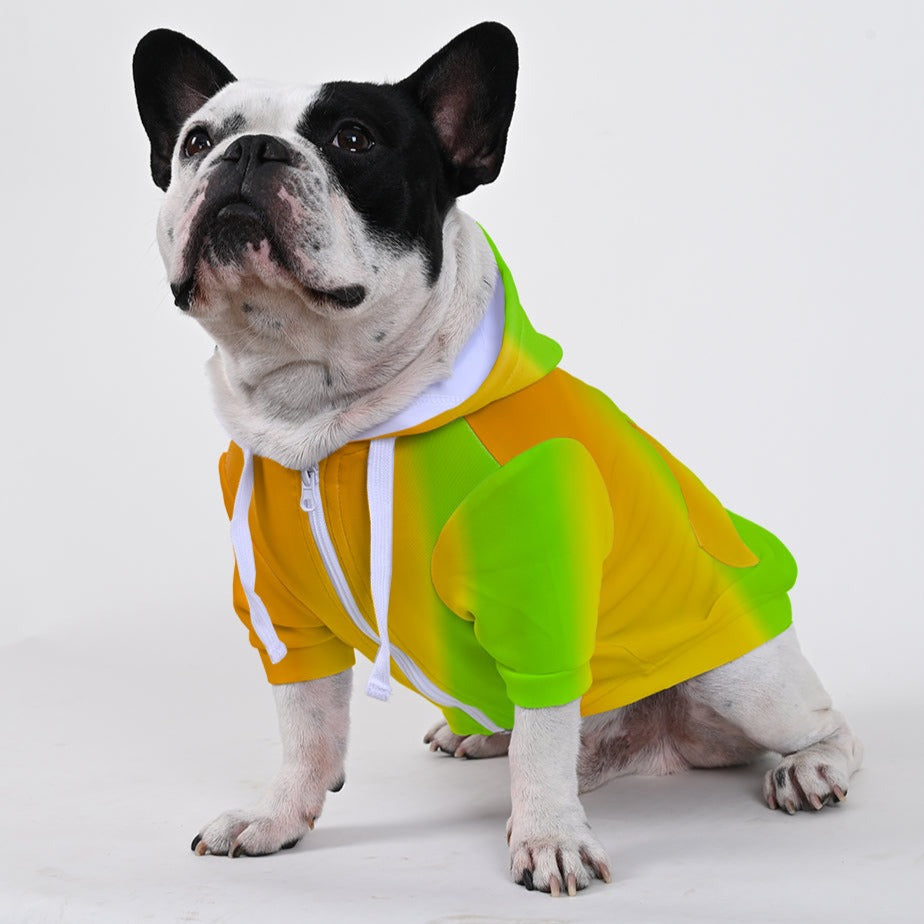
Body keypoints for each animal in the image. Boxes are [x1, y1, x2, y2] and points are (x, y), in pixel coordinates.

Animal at [133, 23, 863, 896]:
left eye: (353, 139)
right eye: (197, 141)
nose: (249, 152)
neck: (326, 416)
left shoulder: (536, 595)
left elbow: (543, 737)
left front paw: (548, 836)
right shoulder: (284, 612)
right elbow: (306, 728)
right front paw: (278, 816)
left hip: (741, 673)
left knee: (820, 725)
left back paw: (812, 767)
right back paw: (483, 736)